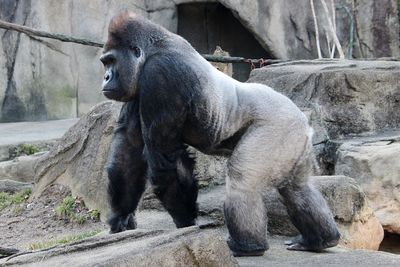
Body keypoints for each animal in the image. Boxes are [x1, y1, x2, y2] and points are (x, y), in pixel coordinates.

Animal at [101, 12, 340, 258]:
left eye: (112, 61)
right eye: (106, 62)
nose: (106, 77)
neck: (153, 49)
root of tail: (303, 118)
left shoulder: (160, 75)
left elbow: (164, 163)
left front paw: (185, 223)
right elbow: (128, 150)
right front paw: (121, 219)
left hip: (279, 126)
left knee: (242, 179)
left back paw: (247, 246)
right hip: (296, 138)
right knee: (297, 188)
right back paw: (320, 240)